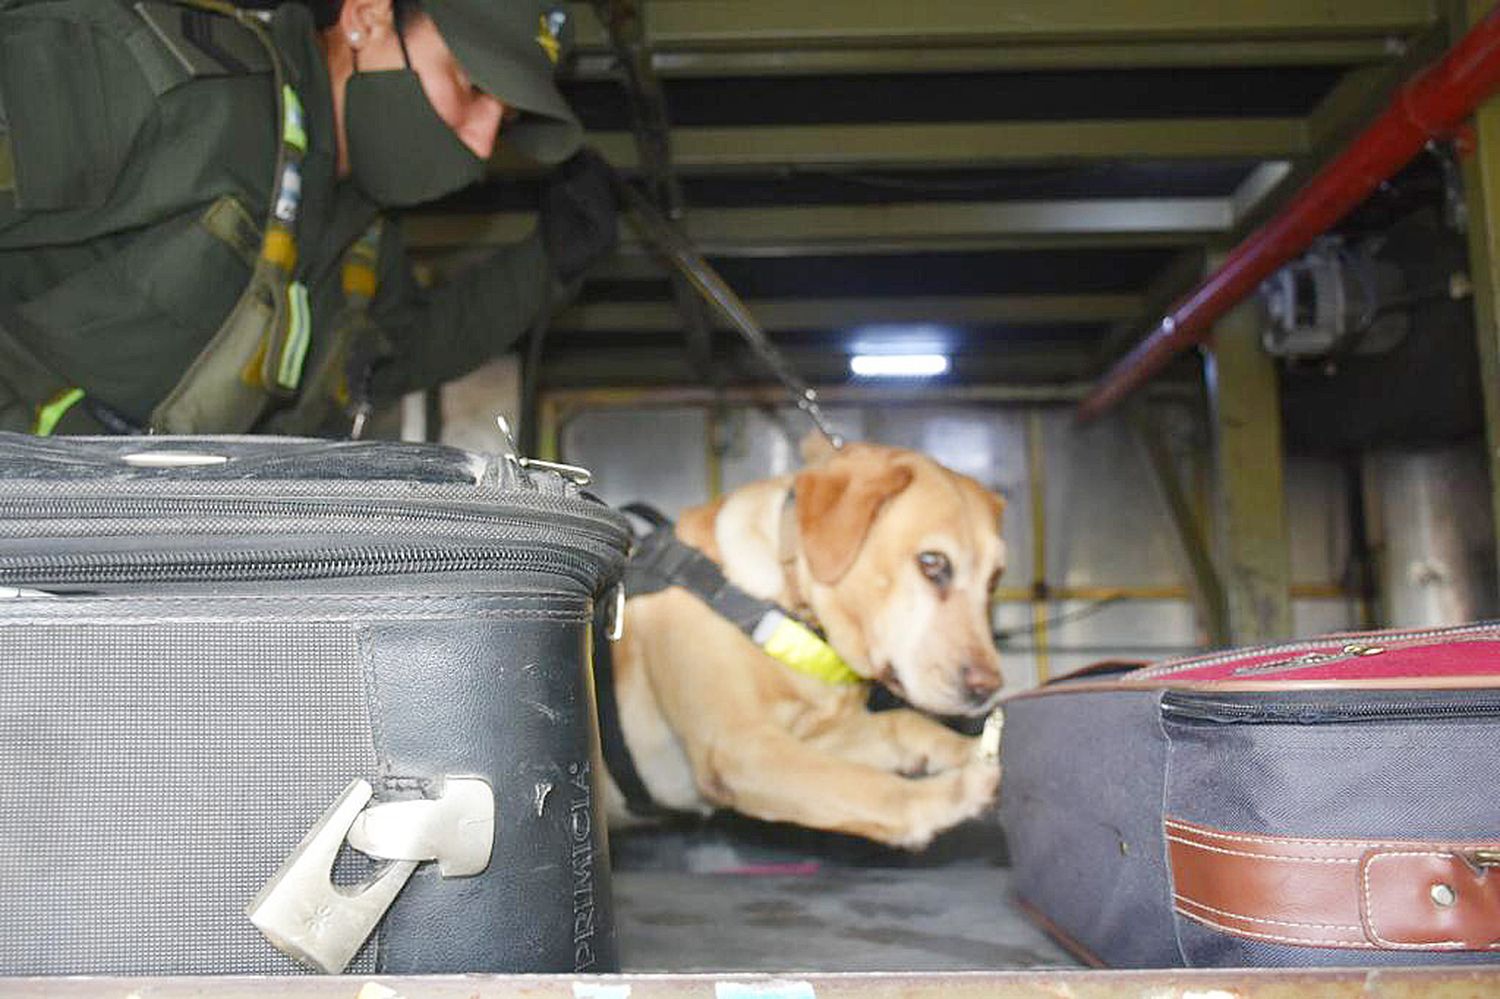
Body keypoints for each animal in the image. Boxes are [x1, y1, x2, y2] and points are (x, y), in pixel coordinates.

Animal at [606, 441, 1008, 846]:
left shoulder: (819, 737)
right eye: (932, 562)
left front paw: (971, 748)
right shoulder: (740, 747)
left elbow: (904, 723)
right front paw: (951, 794)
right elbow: (870, 788)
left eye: (993, 581)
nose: (987, 689)